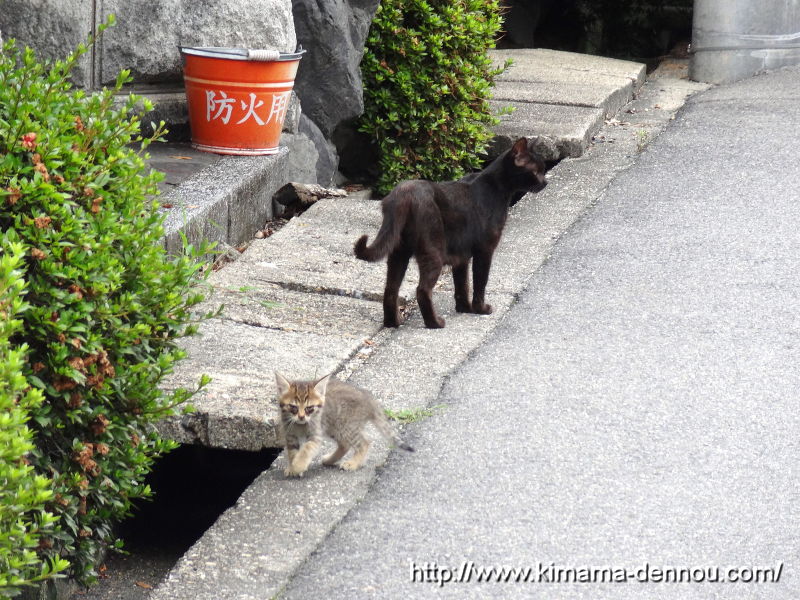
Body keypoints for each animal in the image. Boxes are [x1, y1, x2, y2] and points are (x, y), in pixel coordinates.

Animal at [276, 370, 412, 478]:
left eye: (309, 408)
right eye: (293, 407)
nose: (301, 416)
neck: (300, 425)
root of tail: (368, 397)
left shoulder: (316, 434)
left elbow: (306, 449)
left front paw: (298, 466)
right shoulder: (290, 436)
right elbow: (292, 452)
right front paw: (293, 466)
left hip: (345, 426)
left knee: (364, 443)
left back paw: (353, 463)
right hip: (335, 427)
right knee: (345, 444)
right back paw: (330, 460)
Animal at [354, 137, 548, 328]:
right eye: (536, 171)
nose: (546, 182)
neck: (497, 188)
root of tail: (403, 192)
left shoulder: (461, 255)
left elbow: (462, 284)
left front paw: (464, 308)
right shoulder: (485, 249)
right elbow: (480, 281)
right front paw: (481, 309)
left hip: (399, 252)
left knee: (390, 289)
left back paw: (392, 322)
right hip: (433, 250)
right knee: (422, 290)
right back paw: (434, 323)